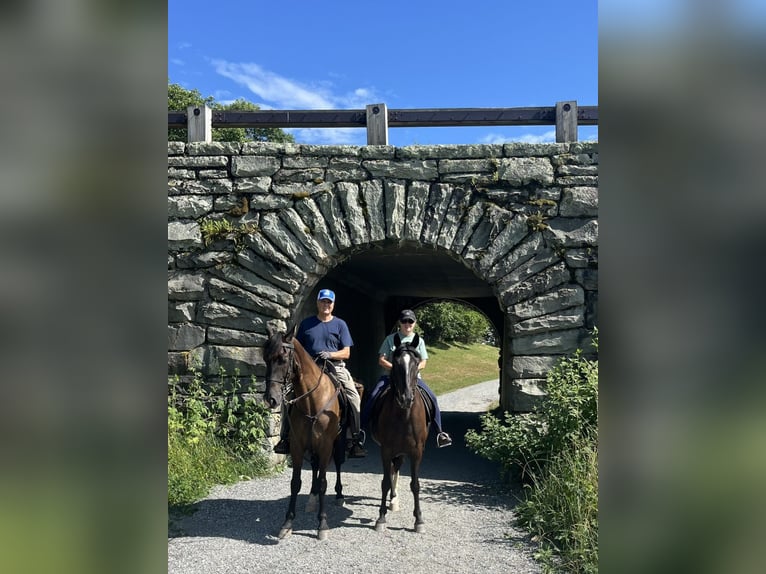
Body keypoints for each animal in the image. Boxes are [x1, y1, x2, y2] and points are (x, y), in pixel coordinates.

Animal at [264, 326, 348, 544]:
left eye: (282, 358)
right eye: (265, 358)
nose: (271, 399)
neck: (312, 400)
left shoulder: (326, 445)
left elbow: (325, 482)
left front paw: (322, 524)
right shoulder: (297, 446)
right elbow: (295, 483)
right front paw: (287, 524)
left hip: (337, 443)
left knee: (337, 465)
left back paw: (339, 495)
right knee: (316, 468)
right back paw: (312, 497)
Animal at [368, 332, 428, 536]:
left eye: (416, 362)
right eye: (396, 362)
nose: (406, 398)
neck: (404, 415)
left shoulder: (417, 452)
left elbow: (415, 485)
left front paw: (419, 520)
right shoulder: (386, 450)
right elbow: (385, 482)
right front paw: (381, 518)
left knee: (397, 468)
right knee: (393, 471)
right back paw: (392, 500)